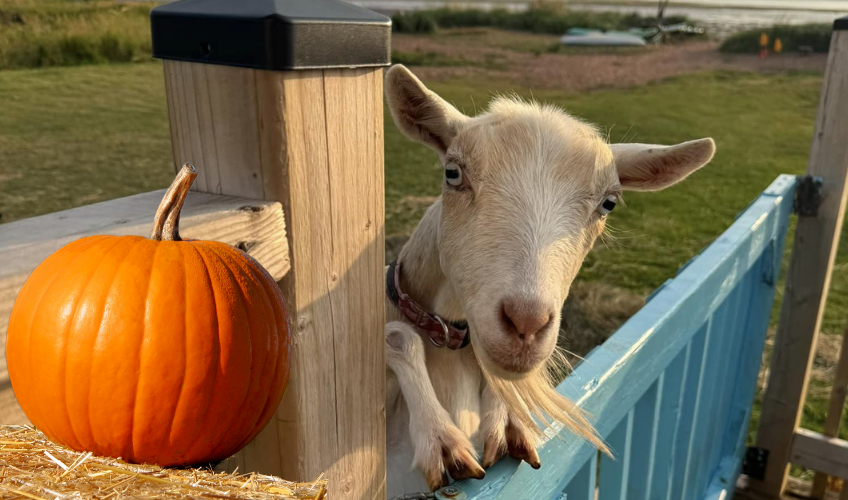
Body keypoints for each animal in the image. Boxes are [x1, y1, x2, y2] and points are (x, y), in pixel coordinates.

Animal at [384, 63, 716, 496]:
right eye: (452, 173)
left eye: (609, 203)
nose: (526, 323)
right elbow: (398, 336)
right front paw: (441, 441)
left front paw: (508, 420)